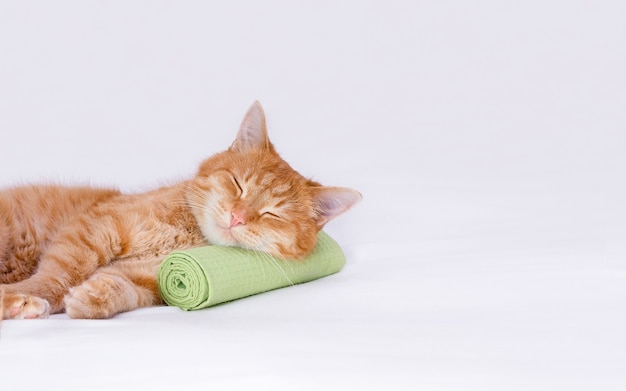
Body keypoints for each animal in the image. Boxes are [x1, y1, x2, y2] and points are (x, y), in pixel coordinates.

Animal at [0, 102, 360, 320]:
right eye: (238, 184)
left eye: (273, 214)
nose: (237, 217)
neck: (185, 232)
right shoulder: (94, 228)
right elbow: (57, 275)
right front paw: (28, 294)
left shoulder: (149, 279)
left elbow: (123, 289)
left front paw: (94, 297)